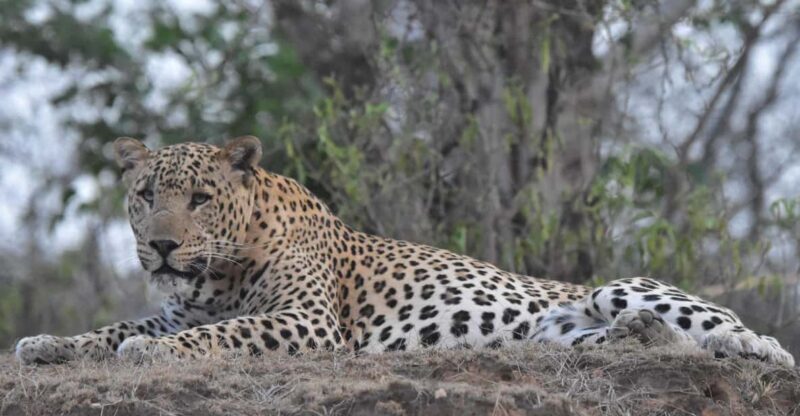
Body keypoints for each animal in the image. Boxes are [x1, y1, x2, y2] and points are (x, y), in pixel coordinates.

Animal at [15, 137, 795, 367]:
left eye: (201, 198)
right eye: (146, 193)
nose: (161, 246)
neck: (215, 279)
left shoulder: (307, 322)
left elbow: (223, 334)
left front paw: (149, 354)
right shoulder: (177, 308)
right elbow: (113, 326)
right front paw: (49, 343)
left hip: (622, 283)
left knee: (754, 340)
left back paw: (743, 346)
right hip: (562, 331)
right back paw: (637, 337)